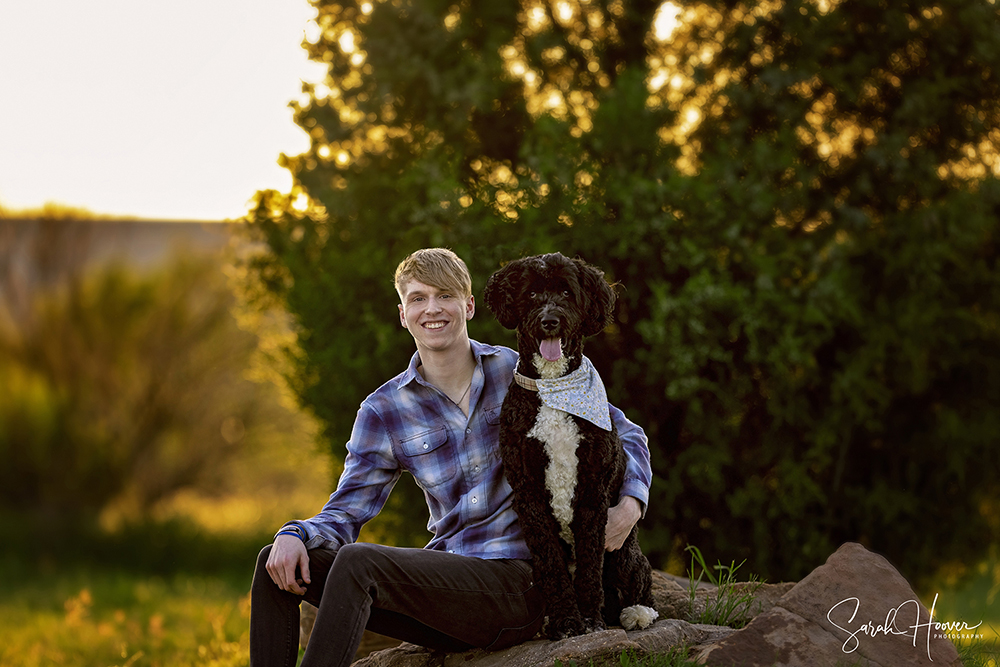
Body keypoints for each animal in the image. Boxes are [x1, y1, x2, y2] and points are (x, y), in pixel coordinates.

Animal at [484, 253, 656, 640]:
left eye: (566, 291)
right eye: (532, 294)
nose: (550, 321)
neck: (554, 388)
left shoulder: (593, 489)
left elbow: (591, 565)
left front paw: (589, 620)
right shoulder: (528, 491)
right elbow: (550, 564)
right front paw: (565, 621)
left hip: (623, 548)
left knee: (637, 576)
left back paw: (637, 612)